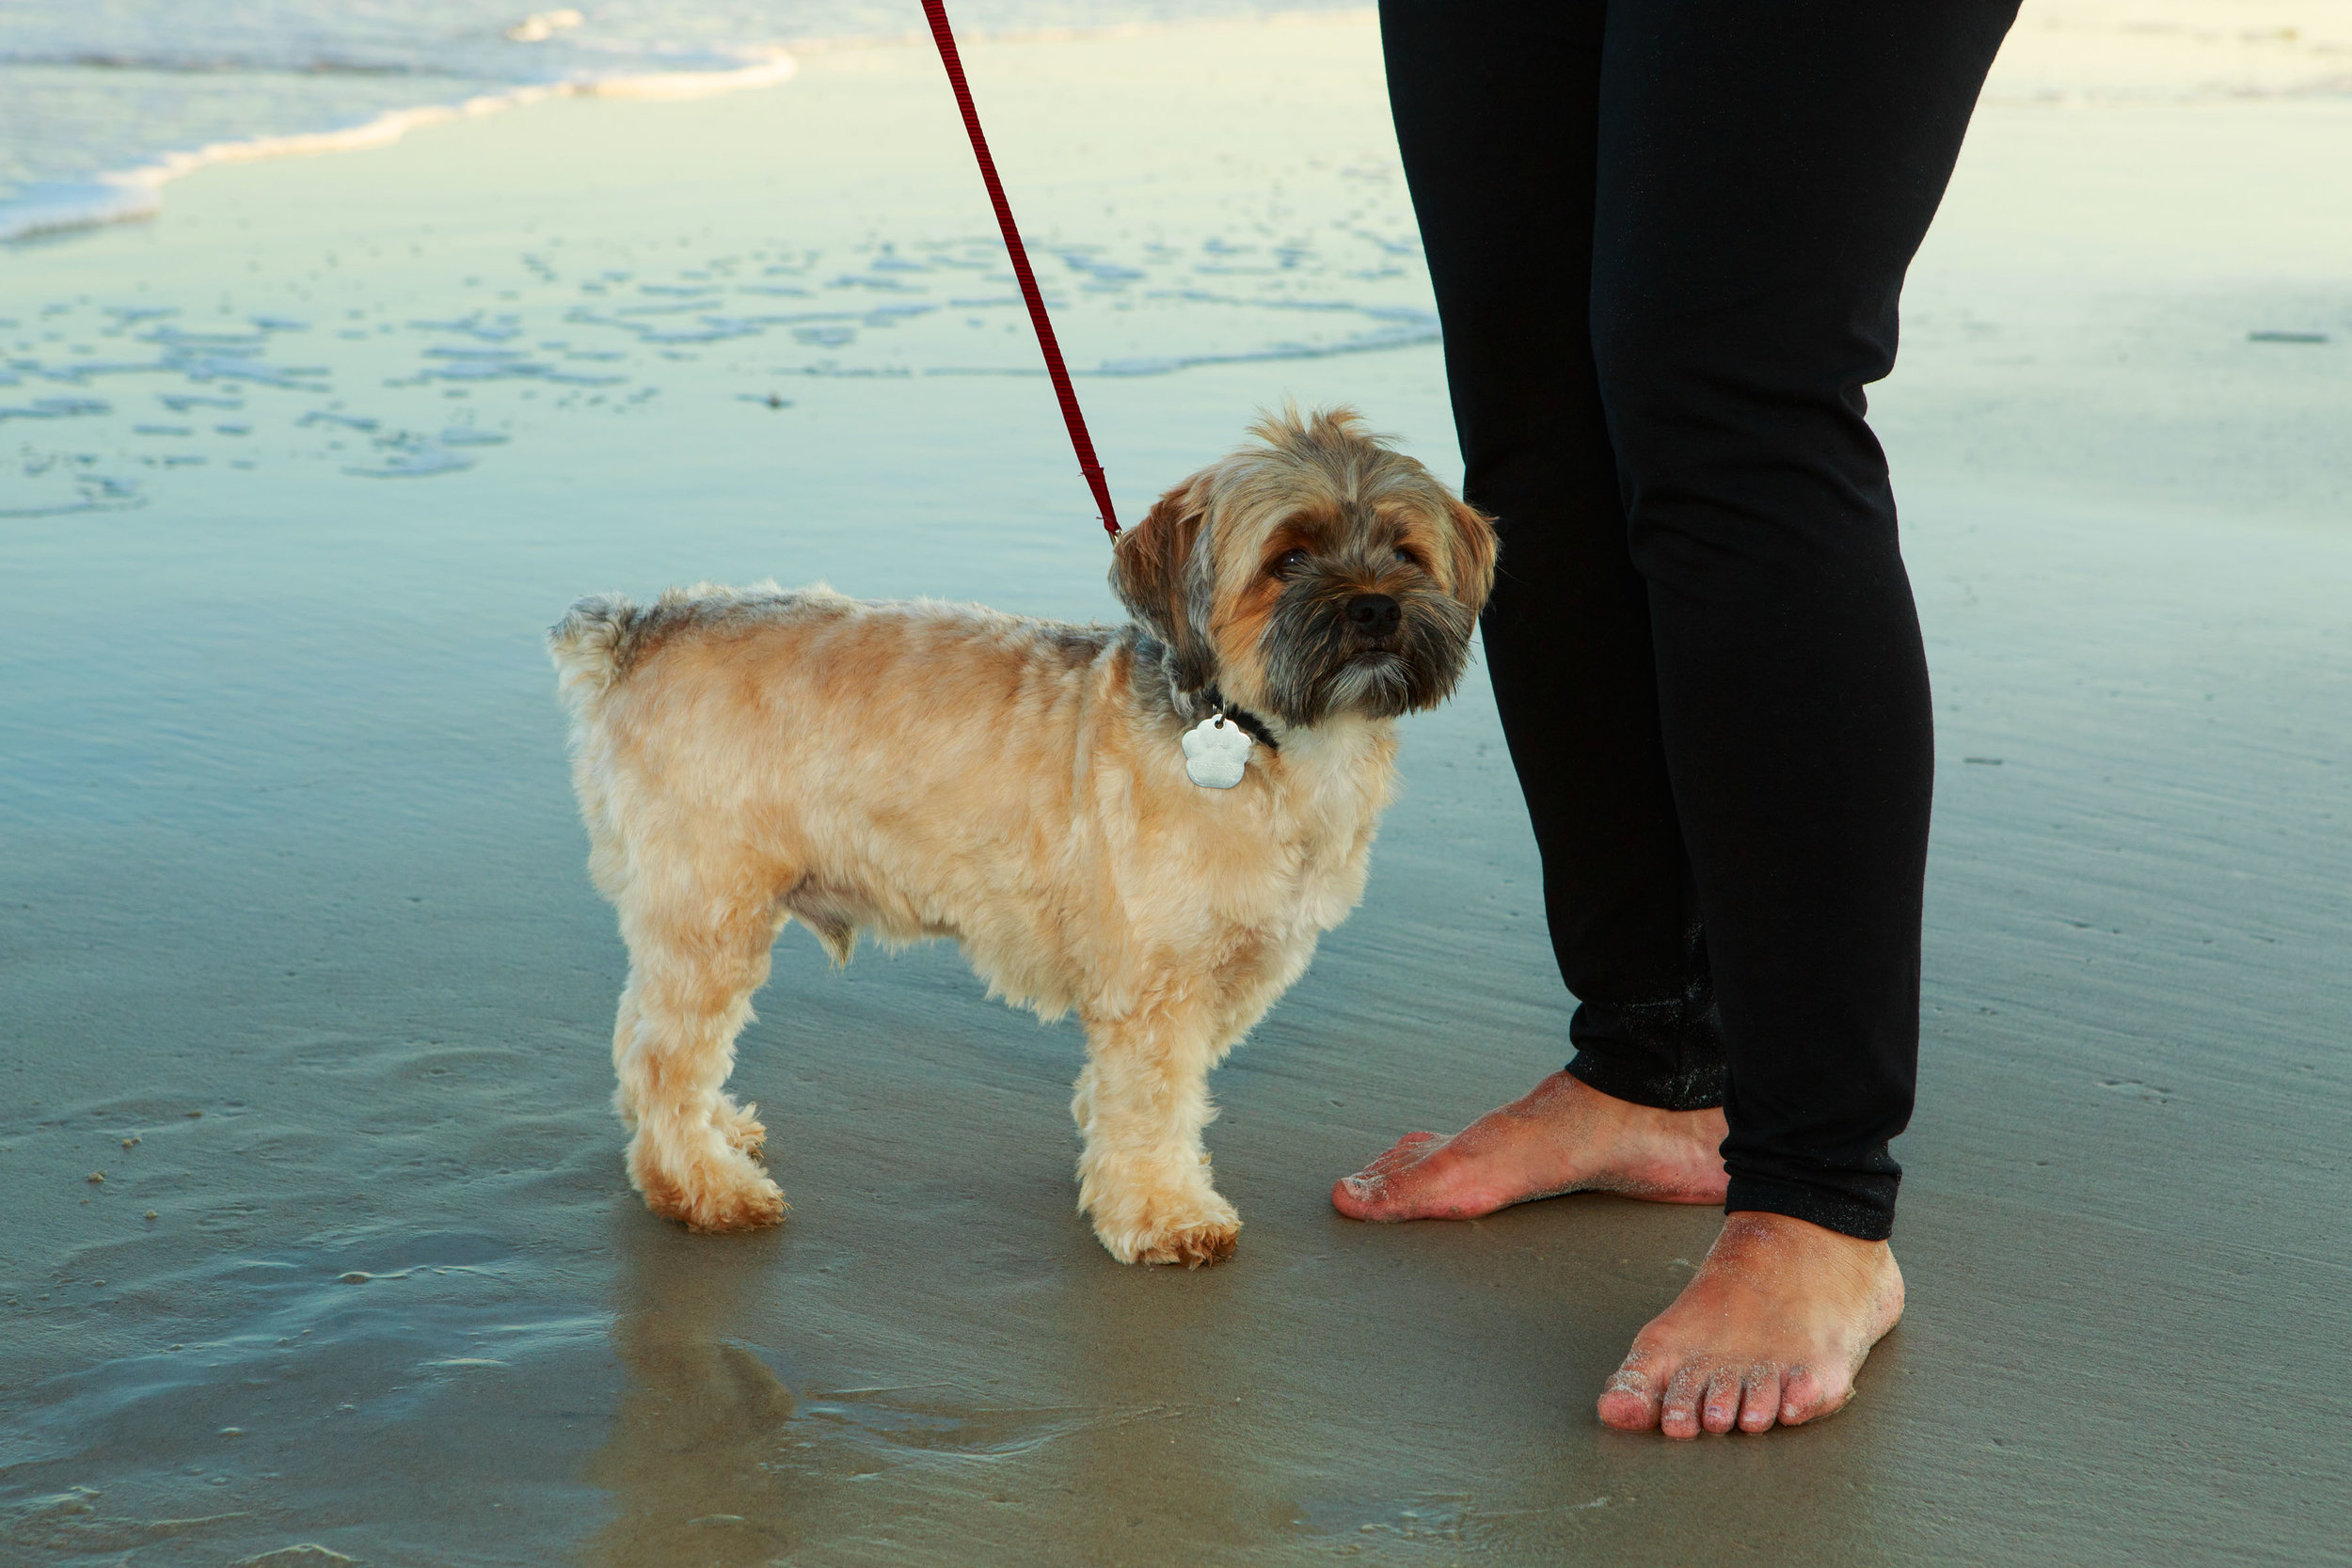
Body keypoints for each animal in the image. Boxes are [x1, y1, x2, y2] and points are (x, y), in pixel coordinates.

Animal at [555, 411, 1486, 1269]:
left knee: (642, 1034)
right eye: (1288, 557)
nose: (1375, 607)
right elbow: (1155, 1100)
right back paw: (702, 1185)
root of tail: (641, 629)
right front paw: (1165, 1210)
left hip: (690, 914)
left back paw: (711, 1135)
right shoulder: (1159, 985)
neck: (1266, 740)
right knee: (666, 1057)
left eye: (1405, 551)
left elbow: (1141, 1096)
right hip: (714, 912)